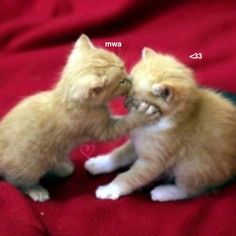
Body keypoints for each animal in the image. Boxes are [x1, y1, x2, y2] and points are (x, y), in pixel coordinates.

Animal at [0, 36, 159, 202]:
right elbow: (124, 123)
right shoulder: (102, 130)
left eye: (123, 67)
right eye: (121, 81)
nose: (130, 79)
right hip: (30, 167)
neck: (67, 99)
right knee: (16, 181)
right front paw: (141, 115)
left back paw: (62, 167)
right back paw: (36, 190)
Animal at [85, 47, 236, 201]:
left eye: (135, 100)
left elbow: (130, 177)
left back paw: (164, 192)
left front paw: (110, 188)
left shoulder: (154, 161)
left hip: (193, 166)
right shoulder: (136, 143)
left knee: (191, 190)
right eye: (126, 92)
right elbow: (119, 154)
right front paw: (99, 163)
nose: (124, 104)